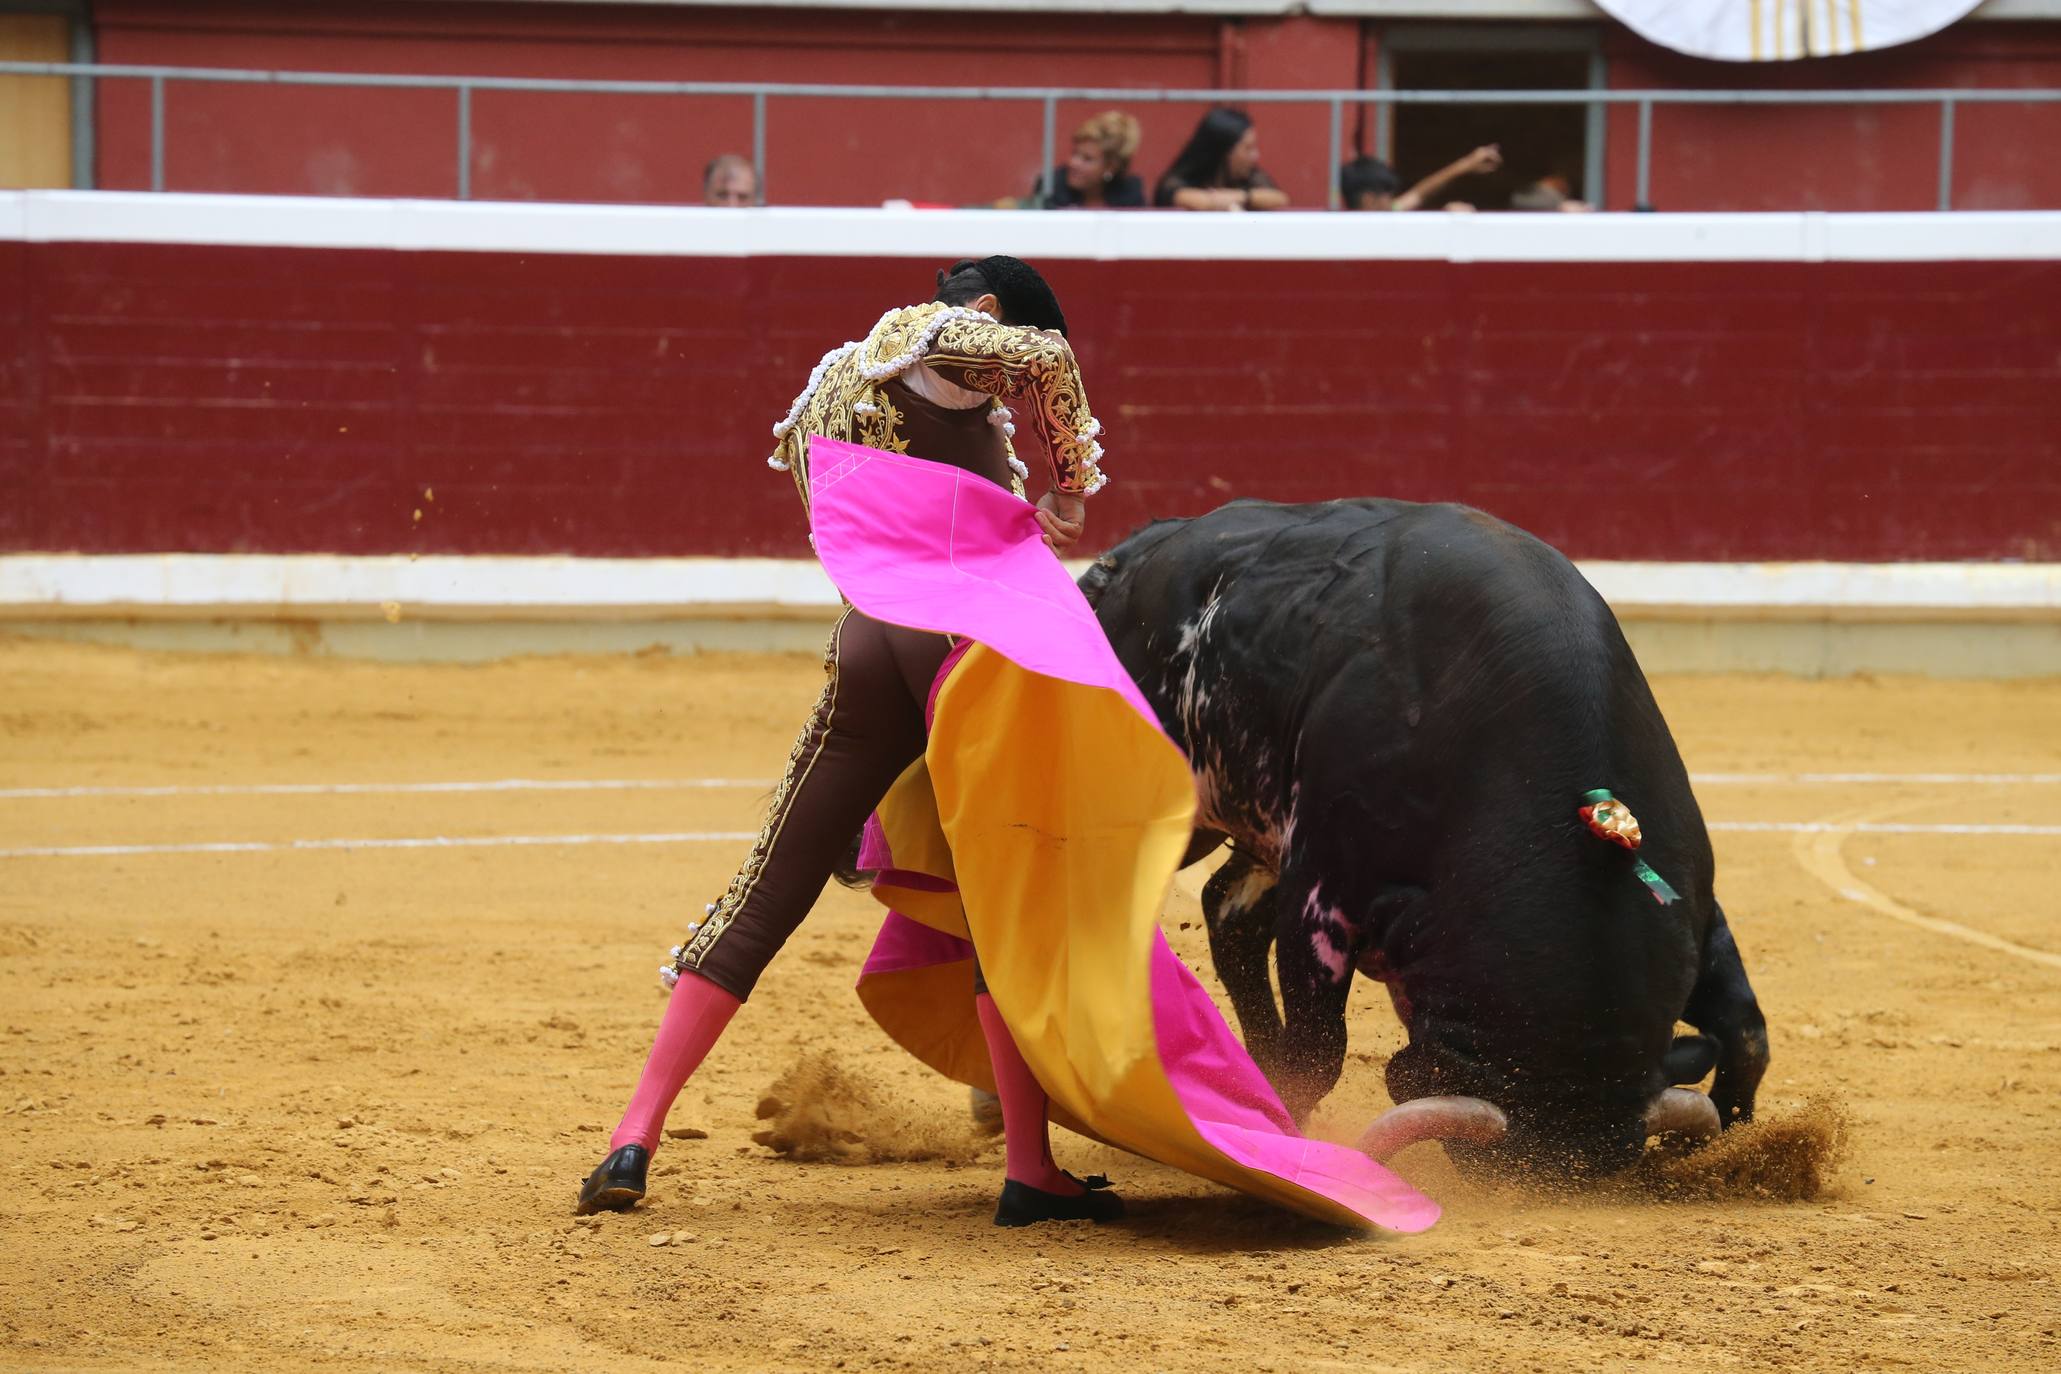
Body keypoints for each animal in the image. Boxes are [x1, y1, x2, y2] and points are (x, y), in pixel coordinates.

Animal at [1079, 500, 1772, 1178]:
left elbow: (1746, 1031)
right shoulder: (1321, 894)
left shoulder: (1699, 907)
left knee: (1227, 911)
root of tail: (1125, 559)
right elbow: (1317, 1052)